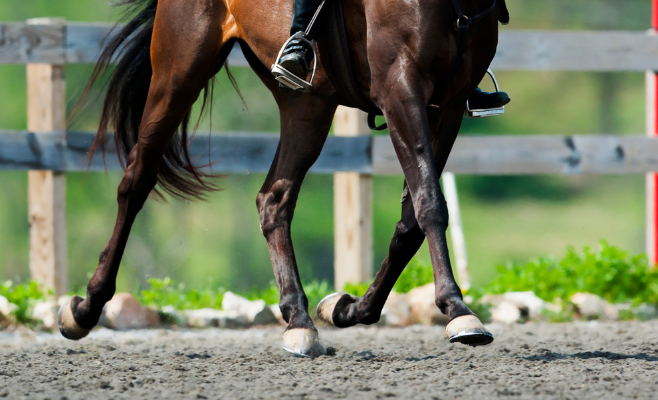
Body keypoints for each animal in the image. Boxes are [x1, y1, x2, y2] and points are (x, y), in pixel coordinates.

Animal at [57, 0, 508, 356]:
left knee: (274, 199)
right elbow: (429, 202)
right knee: (136, 180)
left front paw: (348, 308)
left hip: (307, 104)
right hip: (179, 70)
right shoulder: (401, 89)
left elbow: (413, 217)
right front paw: (458, 310)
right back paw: (85, 309)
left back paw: (299, 320)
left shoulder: (448, 105)